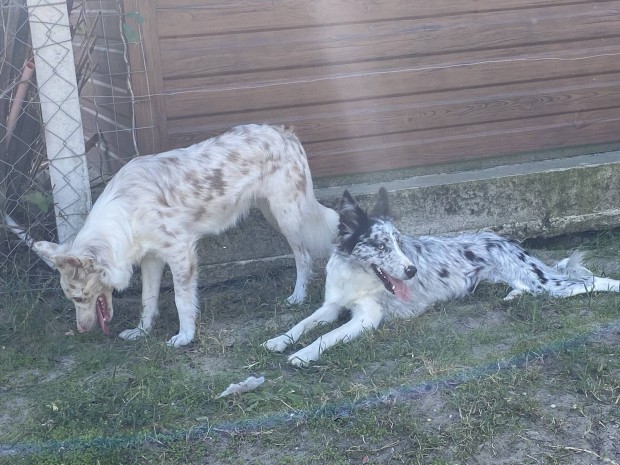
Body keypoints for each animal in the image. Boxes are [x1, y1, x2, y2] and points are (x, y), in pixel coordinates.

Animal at [32, 123, 340, 344]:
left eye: (79, 298)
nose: (81, 330)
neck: (126, 214)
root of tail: (285, 133)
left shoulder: (180, 253)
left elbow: (182, 301)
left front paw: (185, 337)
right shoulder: (151, 258)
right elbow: (148, 299)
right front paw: (141, 332)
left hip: (286, 215)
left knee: (303, 257)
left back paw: (298, 297)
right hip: (270, 213)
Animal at [262, 187, 620, 364]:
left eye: (399, 241)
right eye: (381, 244)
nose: (412, 270)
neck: (356, 275)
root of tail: (507, 240)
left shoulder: (366, 319)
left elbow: (326, 336)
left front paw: (302, 355)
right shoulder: (332, 306)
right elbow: (303, 323)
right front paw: (280, 340)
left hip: (549, 283)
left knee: (589, 281)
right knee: (525, 286)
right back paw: (513, 295)